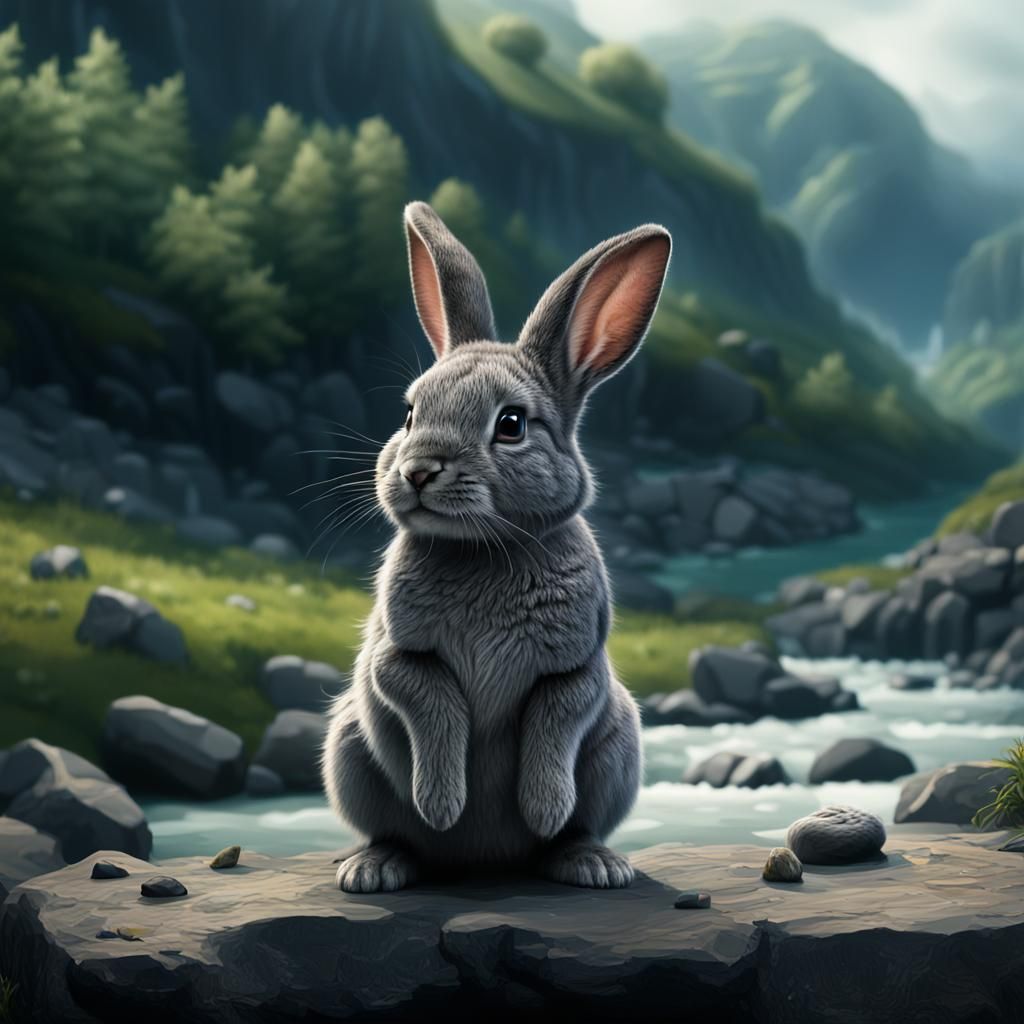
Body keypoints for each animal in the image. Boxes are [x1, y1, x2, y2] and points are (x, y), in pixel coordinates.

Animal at [322, 201, 671, 893]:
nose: (418, 470)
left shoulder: (577, 666)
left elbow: (555, 718)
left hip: (619, 747)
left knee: (578, 828)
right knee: (389, 831)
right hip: (349, 747)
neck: (482, 549)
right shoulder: (398, 654)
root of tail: (483, 863)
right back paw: (374, 868)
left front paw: (542, 808)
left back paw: (592, 863)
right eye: (409, 415)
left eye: (510, 424)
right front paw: (443, 805)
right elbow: (432, 703)